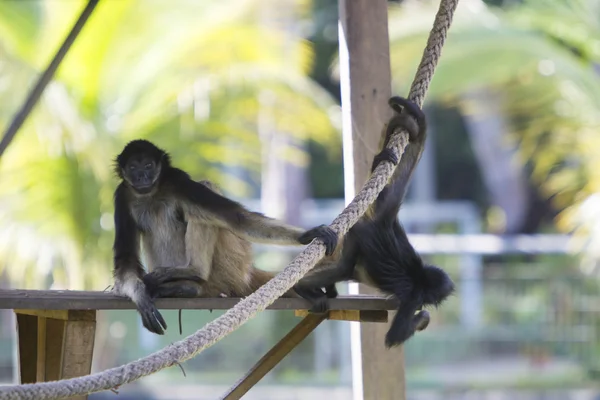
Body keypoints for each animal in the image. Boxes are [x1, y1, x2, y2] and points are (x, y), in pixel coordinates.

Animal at [112, 139, 338, 332]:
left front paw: (308, 234)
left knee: (204, 197)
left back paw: (193, 276)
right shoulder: (122, 195)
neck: (151, 194)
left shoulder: (177, 179)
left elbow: (239, 219)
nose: (141, 177)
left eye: (149, 165)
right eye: (133, 167)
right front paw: (140, 296)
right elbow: (126, 261)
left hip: (230, 266)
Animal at [294, 96, 454, 346]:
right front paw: (424, 317)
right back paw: (302, 287)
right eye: (432, 298)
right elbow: (394, 336)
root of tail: (386, 223)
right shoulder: (414, 295)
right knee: (343, 268)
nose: (434, 303)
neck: (420, 274)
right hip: (360, 236)